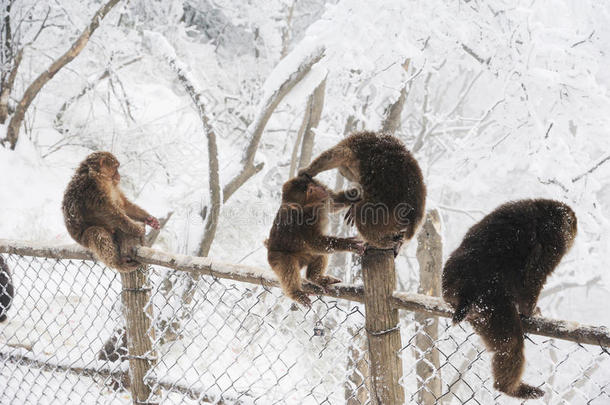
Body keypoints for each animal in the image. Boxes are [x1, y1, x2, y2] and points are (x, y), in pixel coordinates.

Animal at [264, 174, 360, 306]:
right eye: (309, 190)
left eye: (311, 186)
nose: (320, 189)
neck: (313, 207)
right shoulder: (303, 220)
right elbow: (314, 241)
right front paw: (347, 244)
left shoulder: (323, 201)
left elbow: (334, 203)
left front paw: (355, 194)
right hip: (276, 256)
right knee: (288, 267)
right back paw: (296, 293)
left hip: (305, 255)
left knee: (319, 253)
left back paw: (315, 278)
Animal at [442, 199, 576, 398]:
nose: (572, 233)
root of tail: (465, 292)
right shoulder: (553, 240)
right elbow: (534, 276)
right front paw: (531, 311)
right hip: (491, 304)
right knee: (510, 344)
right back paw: (510, 388)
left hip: (474, 308)